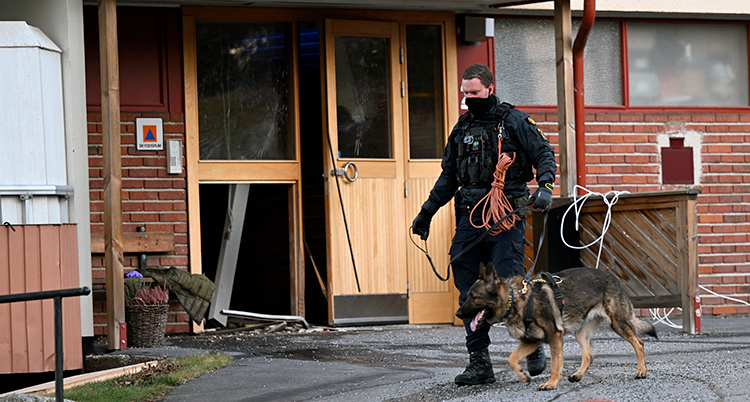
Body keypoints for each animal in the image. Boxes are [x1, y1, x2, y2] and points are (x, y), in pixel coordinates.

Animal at [452, 262, 656, 392]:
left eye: (474, 297)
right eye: (468, 296)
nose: (458, 314)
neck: (516, 299)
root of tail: (612, 277)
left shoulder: (555, 337)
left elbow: (556, 364)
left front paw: (551, 383)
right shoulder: (531, 340)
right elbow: (511, 358)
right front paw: (523, 376)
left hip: (618, 324)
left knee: (639, 343)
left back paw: (641, 371)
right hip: (581, 332)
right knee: (589, 356)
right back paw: (577, 375)